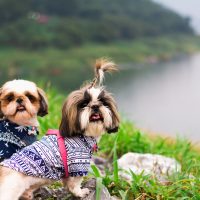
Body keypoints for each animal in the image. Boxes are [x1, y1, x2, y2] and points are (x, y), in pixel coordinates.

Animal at [0, 58, 119, 199]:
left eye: (103, 102)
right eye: (84, 104)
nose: (95, 106)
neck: (83, 136)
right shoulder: (77, 164)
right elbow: (75, 184)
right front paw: (80, 192)